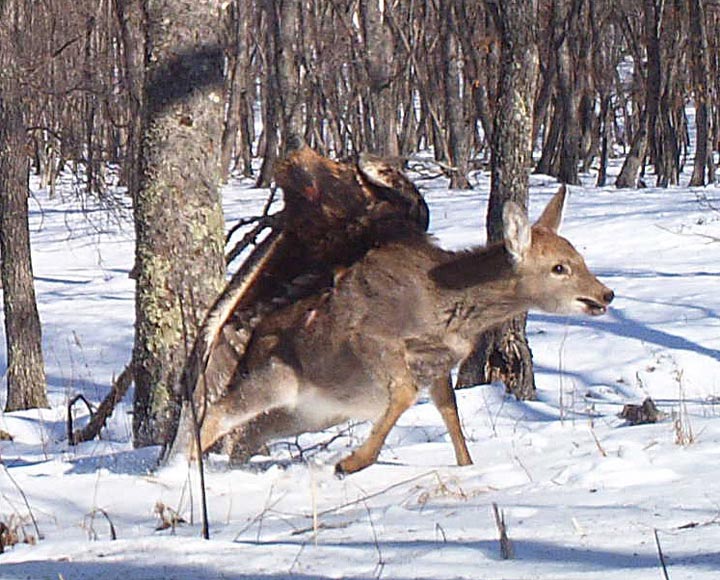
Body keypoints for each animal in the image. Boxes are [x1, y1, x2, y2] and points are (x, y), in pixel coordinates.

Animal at [169, 186, 614, 475]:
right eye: (559, 267)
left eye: (578, 255)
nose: (605, 294)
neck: (444, 306)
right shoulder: (370, 338)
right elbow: (402, 394)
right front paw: (352, 462)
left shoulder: (438, 364)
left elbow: (449, 412)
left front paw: (467, 466)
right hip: (276, 377)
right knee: (219, 412)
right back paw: (182, 472)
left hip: (311, 412)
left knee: (246, 438)